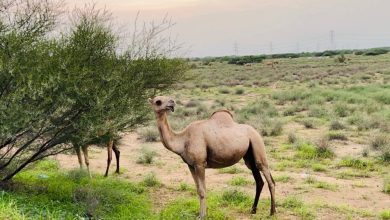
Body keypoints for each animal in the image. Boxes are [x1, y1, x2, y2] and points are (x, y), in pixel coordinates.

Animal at [148, 96, 276, 218]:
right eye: (158, 101)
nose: (172, 102)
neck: (183, 140)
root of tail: (256, 131)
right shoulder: (191, 165)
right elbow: (198, 189)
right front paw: (201, 214)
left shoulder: (200, 164)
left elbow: (202, 191)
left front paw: (202, 215)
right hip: (249, 157)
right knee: (259, 181)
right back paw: (253, 210)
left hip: (258, 145)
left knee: (270, 180)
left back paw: (272, 212)